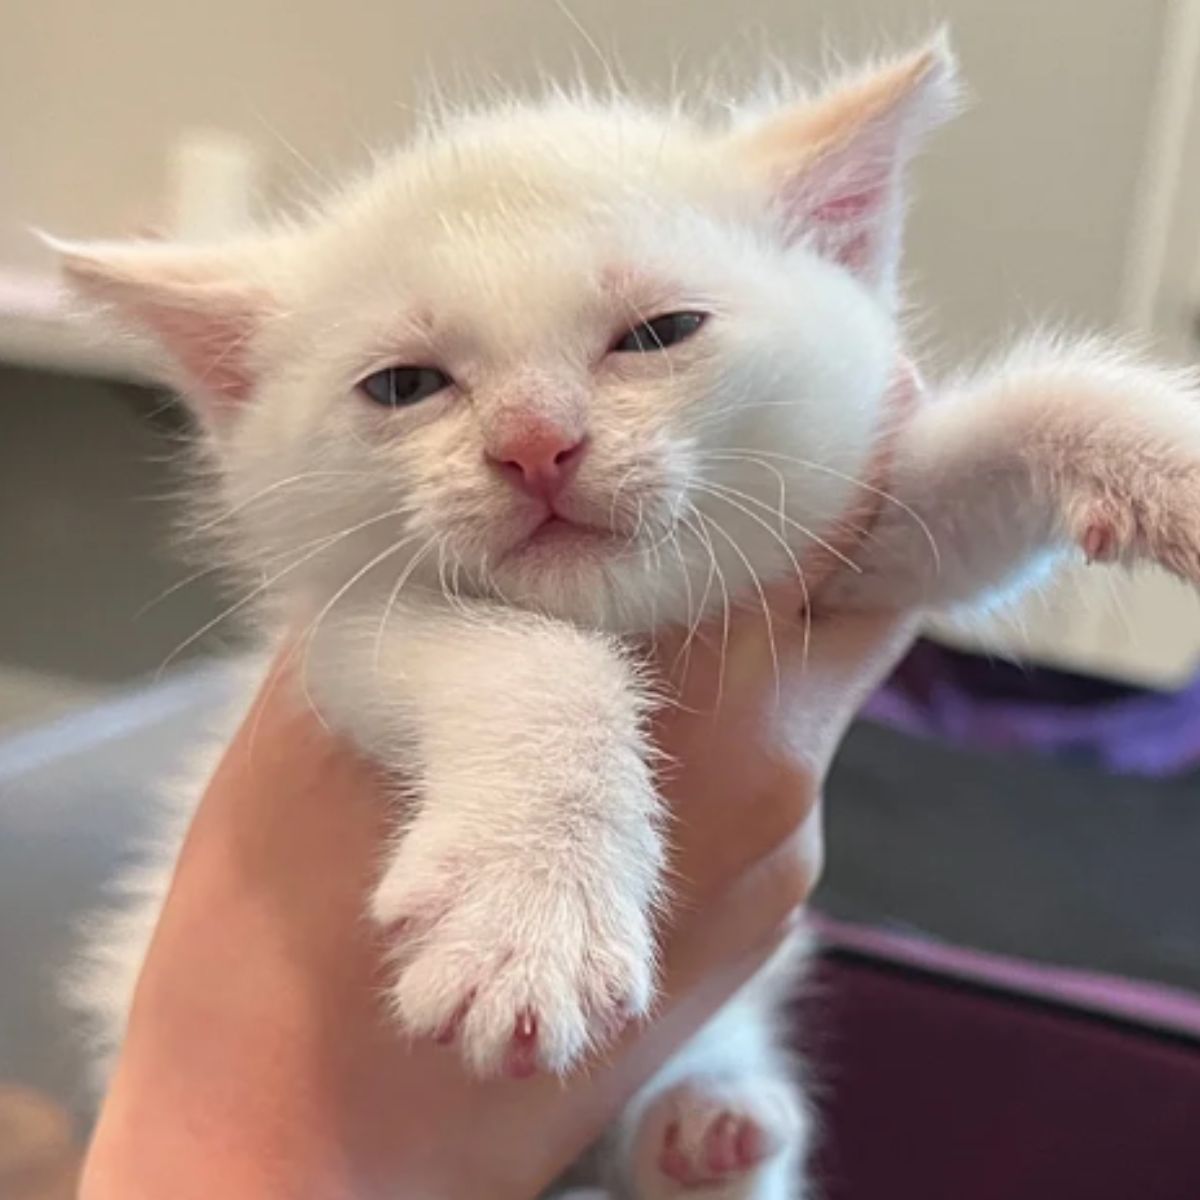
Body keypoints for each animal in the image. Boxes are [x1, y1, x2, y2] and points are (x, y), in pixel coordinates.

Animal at [58, 32, 1200, 1195]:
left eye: (659, 332)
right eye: (405, 385)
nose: (533, 444)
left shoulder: (856, 544)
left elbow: (983, 469)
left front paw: (1157, 453)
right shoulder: (340, 629)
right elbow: (531, 658)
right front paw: (529, 912)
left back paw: (707, 1129)